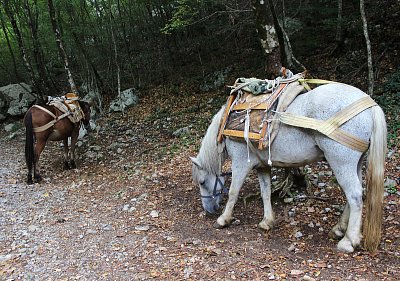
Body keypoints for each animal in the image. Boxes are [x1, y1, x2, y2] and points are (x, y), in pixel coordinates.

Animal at [192, 82, 386, 253]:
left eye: (202, 182)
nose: (209, 210)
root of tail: (369, 105)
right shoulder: (262, 166)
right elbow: (265, 192)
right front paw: (267, 221)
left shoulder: (241, 162)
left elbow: (233, 192)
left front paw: (223, 219)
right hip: (355, 162)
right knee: (355, 194)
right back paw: (339, 229)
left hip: (341, 162)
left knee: (354, 196)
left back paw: (349, 241)